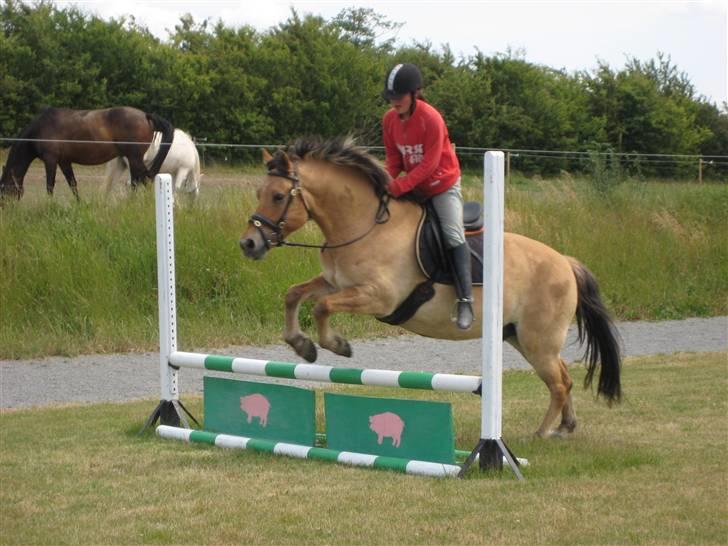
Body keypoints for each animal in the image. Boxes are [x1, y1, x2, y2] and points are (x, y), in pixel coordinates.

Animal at [0, 107, 175, 200]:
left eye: (3, 189)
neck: (41, 128)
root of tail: (145, 116)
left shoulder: (50, 160)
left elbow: (50, 185)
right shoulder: (64, 162)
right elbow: (73, 184)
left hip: (134, 158)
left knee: (143, 179)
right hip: (133, 159)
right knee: (140, 180)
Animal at [237, 136, 620, 438]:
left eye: (277, 196)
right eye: (258, 192)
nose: (248, 244)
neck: (362, 225)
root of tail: (565, 261)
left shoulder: (379, 297)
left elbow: (322, 307)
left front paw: (337, 346)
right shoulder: (335, 282)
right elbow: (295, 294)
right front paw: (302, 346)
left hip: (537, 340)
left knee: (558, 382)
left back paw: (541, 434)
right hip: (519, 337)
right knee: (564, 376)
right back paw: (565, 428)